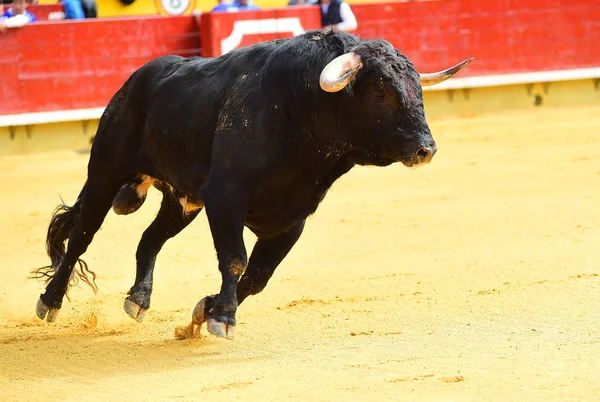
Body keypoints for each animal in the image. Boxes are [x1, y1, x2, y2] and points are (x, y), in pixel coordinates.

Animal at [31, 30, 474, 340]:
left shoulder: (291, 220)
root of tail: (134, 82)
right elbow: (236, 260)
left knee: (149, 239)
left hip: (182, 201)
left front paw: (204, 311)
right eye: (381, 91)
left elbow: (259, 276)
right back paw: (50, 301)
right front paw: (223, 318)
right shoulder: (225, 200)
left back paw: (138, 300)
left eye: (417, 88)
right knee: (82, 236)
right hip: (105, 174)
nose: (426, 149)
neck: (302, 111)